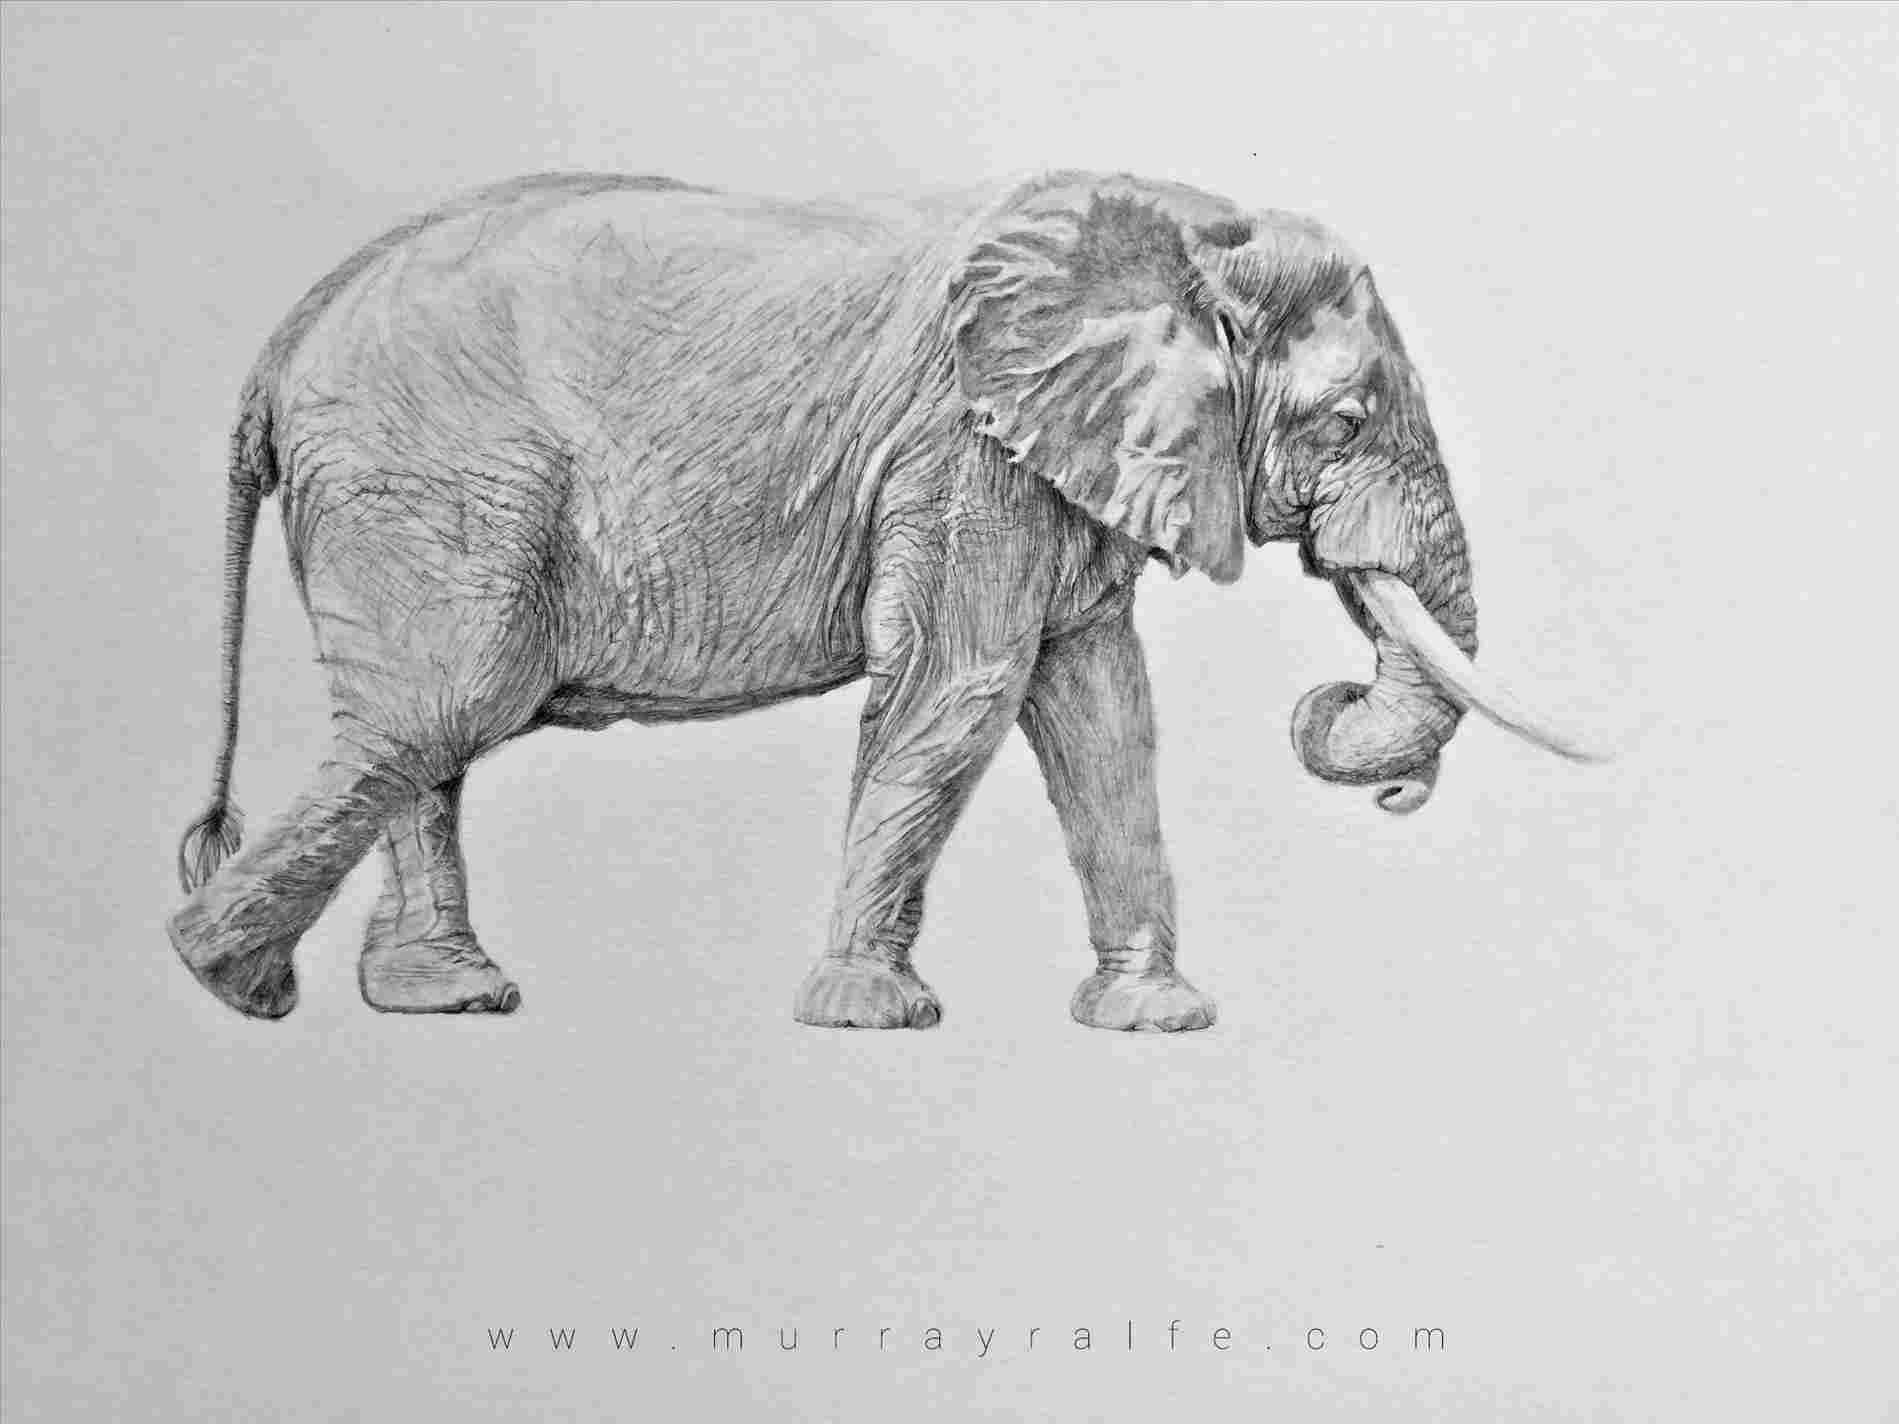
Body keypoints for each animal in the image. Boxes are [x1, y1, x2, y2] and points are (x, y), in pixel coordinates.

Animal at [167, 170, 1593, 1030]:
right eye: (1344, 421)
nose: (1377, 761)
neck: (1182, 230)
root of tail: (279, 344)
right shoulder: (963, 449)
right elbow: (964, 691)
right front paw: (873, 1016)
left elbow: (1105, 717)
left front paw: (1157, 1020)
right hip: (430, 481)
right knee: (440, 709)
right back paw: (227, 975)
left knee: (422, 734)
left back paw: (439, 996)